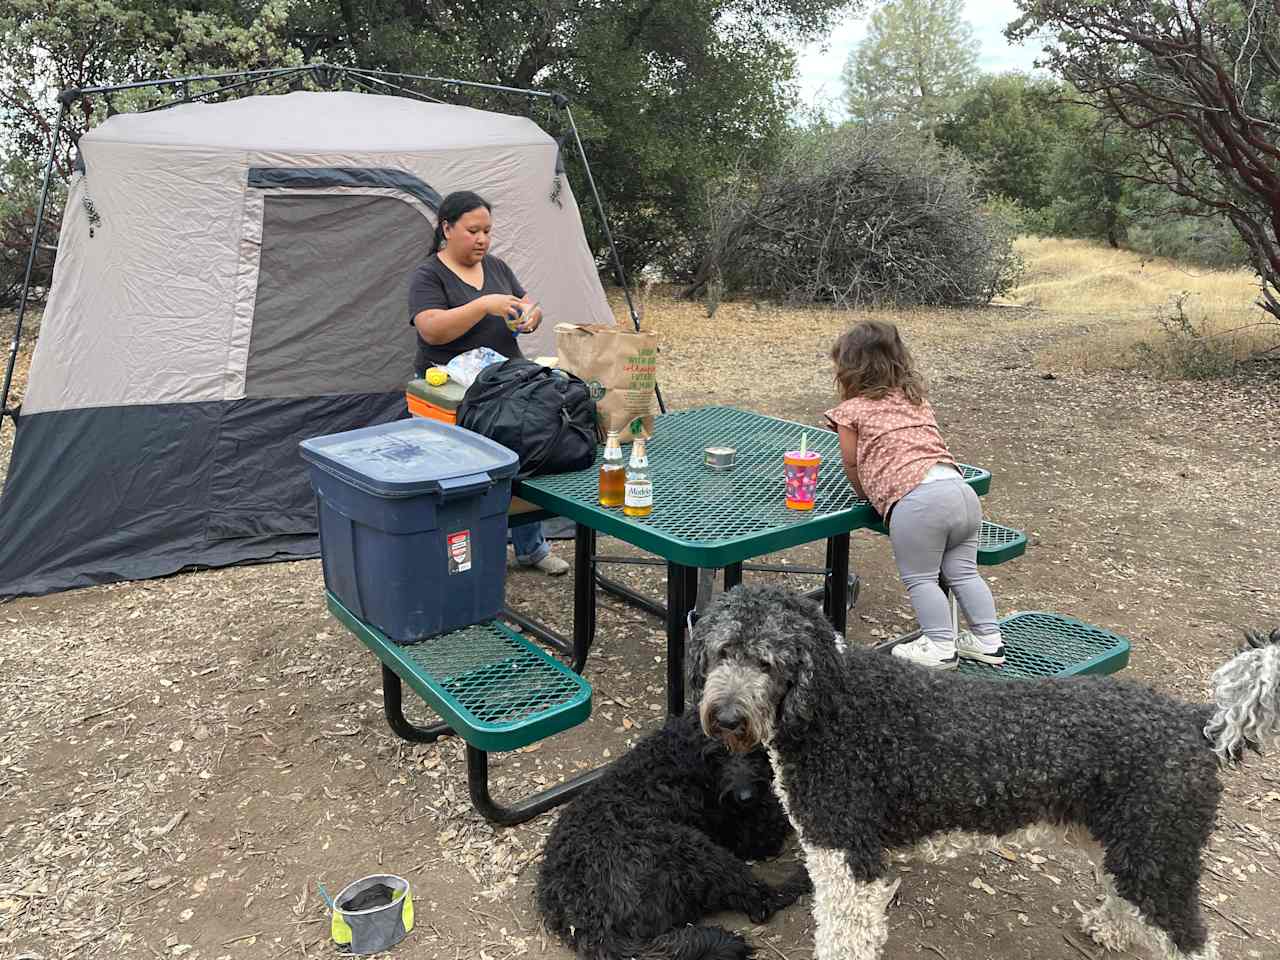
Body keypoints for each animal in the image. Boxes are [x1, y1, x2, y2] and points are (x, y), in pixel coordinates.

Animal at [535, 711, 803, 960]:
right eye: (716, 755)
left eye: (753, 745)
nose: (745, 796)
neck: (681, 759)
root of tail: (592, 923)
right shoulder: (752, 834)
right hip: (697, 850)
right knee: (762, 901)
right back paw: (799, 881)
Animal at [696, 586, 1280, 960]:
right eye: (723, 651)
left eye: (768, 662)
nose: (725, 717)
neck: (829, 703)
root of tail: (1196, 721)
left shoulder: (847, 856)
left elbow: (844, 936)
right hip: (1126, 843)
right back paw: (1110, 929)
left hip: (1159, 851)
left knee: (1192, 939)